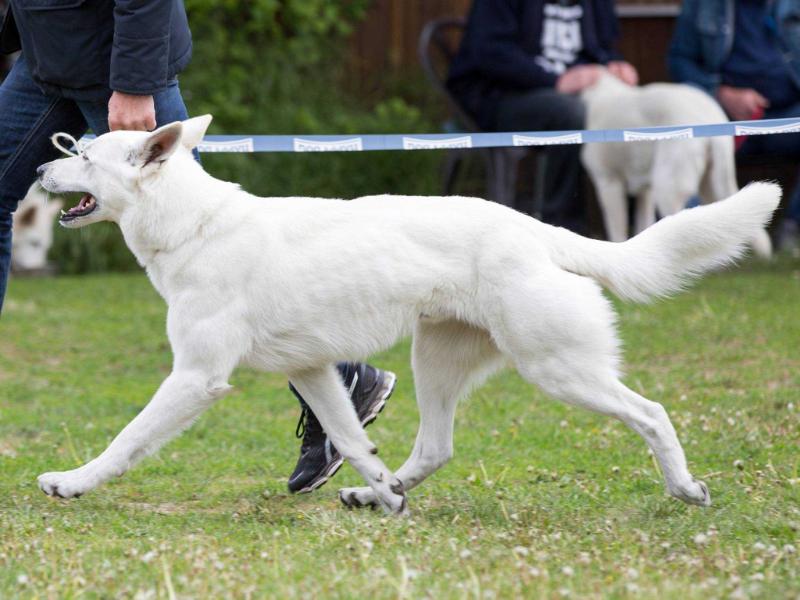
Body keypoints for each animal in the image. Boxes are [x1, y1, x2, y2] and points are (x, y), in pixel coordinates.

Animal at [34, 116, 780, 516]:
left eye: (85, 156)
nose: (39, 171)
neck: (193, 225)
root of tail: (536, 230)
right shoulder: (313, 370)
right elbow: (353, 442)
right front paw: (383, 496)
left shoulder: (195, 378)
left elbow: (126, 440)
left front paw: (71, 482)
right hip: (436, 361)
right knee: (434, 447)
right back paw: (380, 497)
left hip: (558, 368)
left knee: (651, 413)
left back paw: (685, 488)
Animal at [580, 71, 776, 258]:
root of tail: (709, 116)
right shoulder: (645, 191)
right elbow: (643, 223)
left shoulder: (609, 183)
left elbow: (616, 230)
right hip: (711, 185)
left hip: (667, 187)